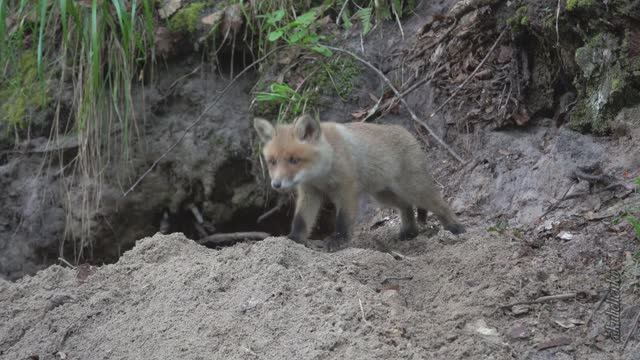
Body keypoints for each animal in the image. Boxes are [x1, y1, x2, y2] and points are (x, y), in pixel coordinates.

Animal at [254, 114, 464, 250]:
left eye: (293, 160)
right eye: (272, 161)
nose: (276, 185)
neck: (321, 174)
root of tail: (409, 133)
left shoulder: (347, 190)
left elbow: (343, 220)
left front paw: (338, 241)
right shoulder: (310, 192)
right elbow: (301, 220)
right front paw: (294, 239)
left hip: (413, 188)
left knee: (439, 204)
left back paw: (456, 228)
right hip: (383, 195)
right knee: (406, 206)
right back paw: (409, 232)